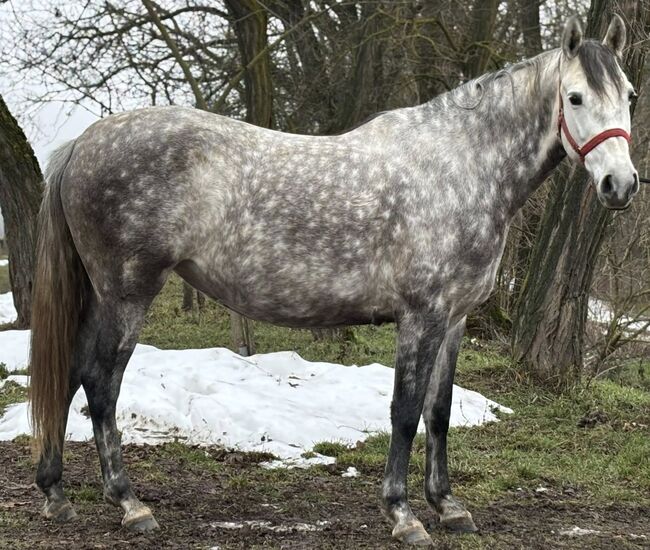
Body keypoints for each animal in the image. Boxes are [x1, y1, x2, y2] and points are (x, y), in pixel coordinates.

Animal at [29, 15, 638, 546]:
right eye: (575, 97)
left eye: (630, 96)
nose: (621, 185)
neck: (460, 168)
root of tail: (81, 144)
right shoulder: (421, 317)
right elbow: (405, 412)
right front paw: (402, 514)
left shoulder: (454, 318)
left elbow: (439, 413)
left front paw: (448, 506)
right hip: (128, 293)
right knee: (101, 382)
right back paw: (129, 503)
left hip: (102, 295)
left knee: (72, 372)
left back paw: (55, 493)